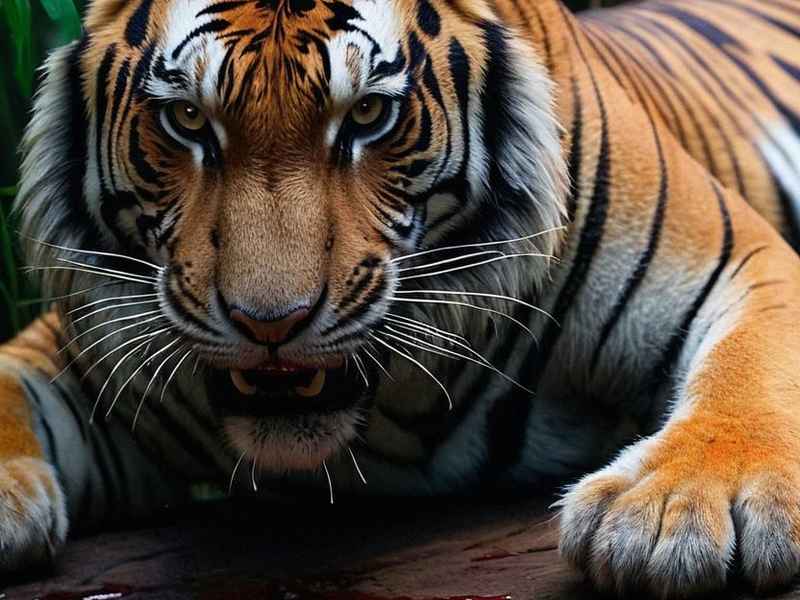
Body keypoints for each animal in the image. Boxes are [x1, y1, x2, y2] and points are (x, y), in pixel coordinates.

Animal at [4, 0, 800, 596]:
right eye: (189, 121)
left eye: (366, 117)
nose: (270, 325)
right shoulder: (86, 343)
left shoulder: (742, 262)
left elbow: (749, 369)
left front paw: (675, 511)